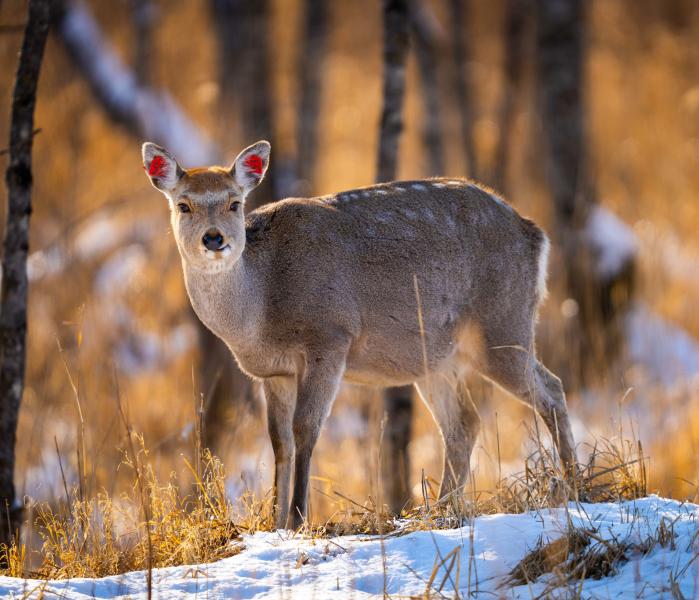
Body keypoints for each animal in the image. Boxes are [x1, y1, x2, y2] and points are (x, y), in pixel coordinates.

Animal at [142, 138, 580, 528]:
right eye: (183, 205)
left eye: (235, 202)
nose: (214, 238)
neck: (261, 308)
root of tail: (535, 235)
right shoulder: (273, 372)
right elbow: (279, 440)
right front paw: (274, 522)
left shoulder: (329, 337)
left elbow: (306, 428)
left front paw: (298, 519)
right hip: (436, 356)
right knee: (464, 424)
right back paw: (442, 509)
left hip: (503, 322)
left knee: (552, 387)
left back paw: (573, 486)